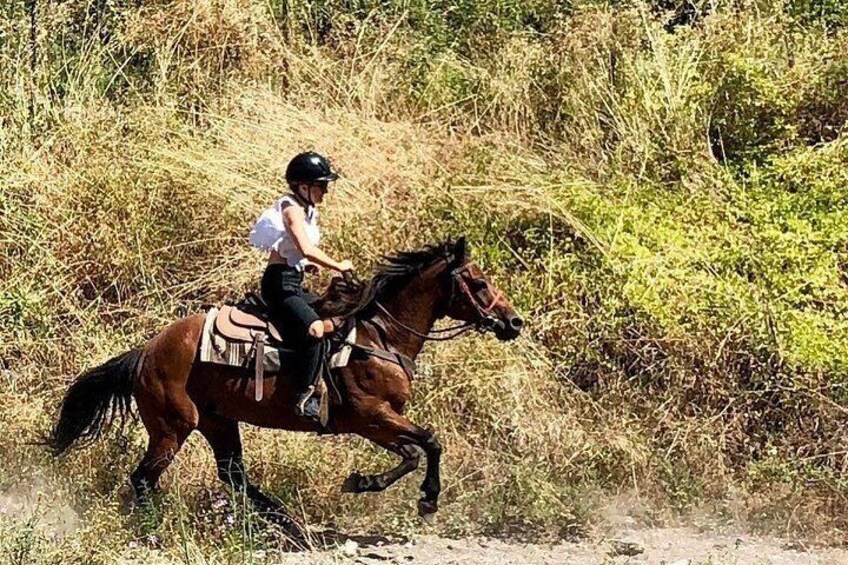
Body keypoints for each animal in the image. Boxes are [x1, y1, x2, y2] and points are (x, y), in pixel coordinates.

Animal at [48, 237, 524, 536]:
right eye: (479, 283)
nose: (514, 322)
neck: (379, 337)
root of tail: (146, 351)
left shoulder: (376, 421)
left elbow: (415, 449)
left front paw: (382, 486)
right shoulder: (371, 416)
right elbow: (426, 444)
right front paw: (415, 496)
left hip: (218, 422)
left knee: (232, 474)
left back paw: (282, 518)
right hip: (172, 427)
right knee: (144, 478)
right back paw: (154, 527)